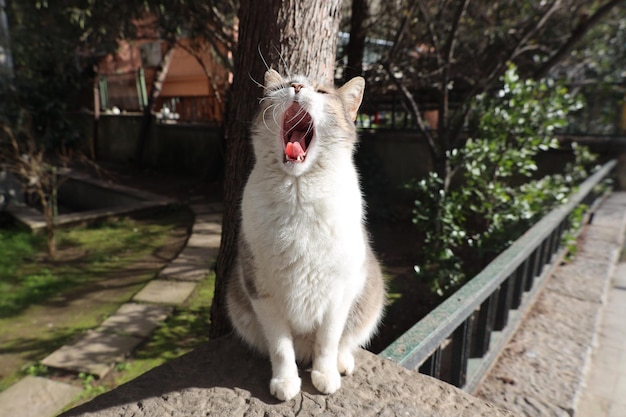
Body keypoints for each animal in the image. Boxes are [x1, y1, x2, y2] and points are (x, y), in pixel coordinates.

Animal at [227, 70, 382, 402]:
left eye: (322, 91)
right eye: (284, 86)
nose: (297, 86)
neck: (298, 193)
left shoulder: (340, 292)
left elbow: (328, 341)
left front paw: (325, 376)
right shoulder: (261, 290)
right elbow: (280, 347)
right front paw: (285, 381)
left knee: (345, 341)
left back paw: (342, 363)